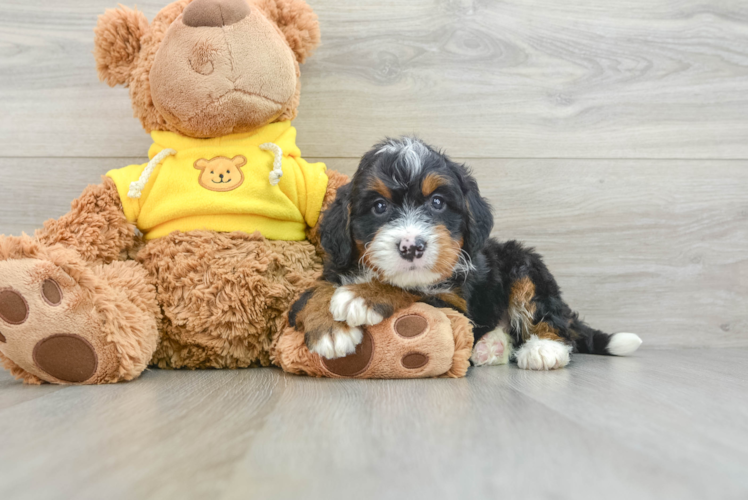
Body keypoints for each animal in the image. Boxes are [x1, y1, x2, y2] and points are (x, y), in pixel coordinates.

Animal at [290, 139, 640, 370]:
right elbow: (312, 292)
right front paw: (330, 330)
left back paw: (543, 350)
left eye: (437, 203)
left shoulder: (457, 304)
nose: (412, 247)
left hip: (524, 264)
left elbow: (412, 290)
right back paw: (490, 347)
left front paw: (362, 296)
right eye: (379, 207)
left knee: (550, 317)